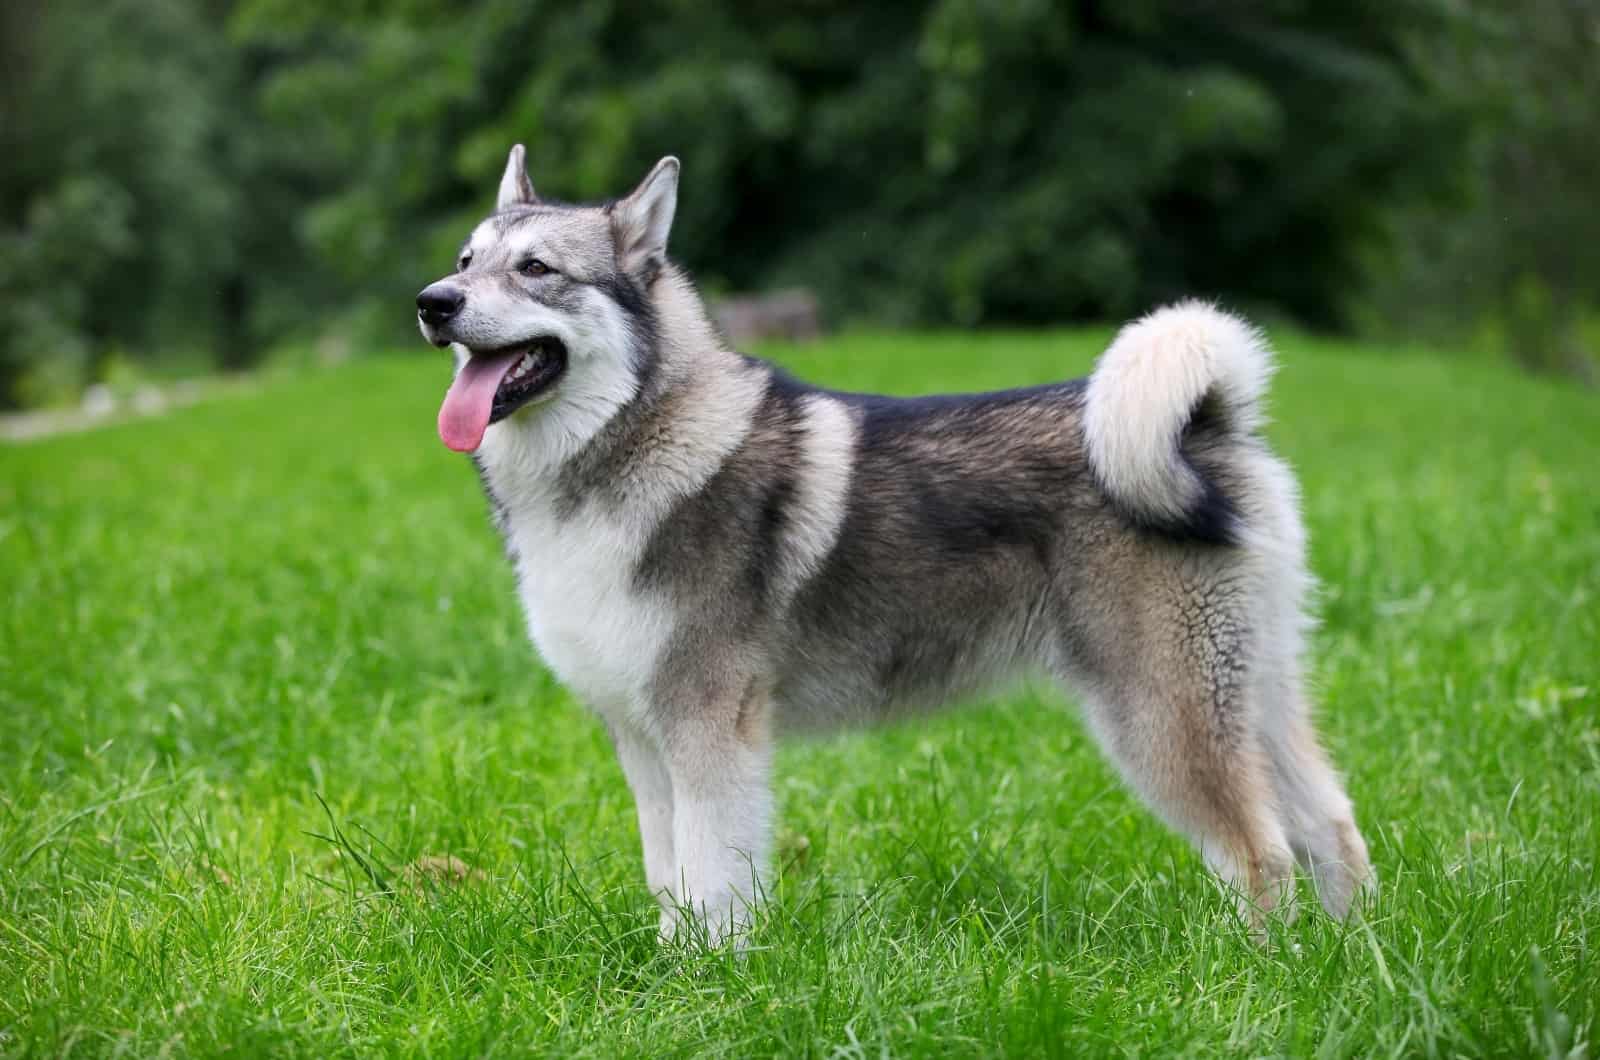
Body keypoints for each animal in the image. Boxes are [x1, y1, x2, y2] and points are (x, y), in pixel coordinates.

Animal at [412, 143, 1376, 947]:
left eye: (536, 269)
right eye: (465, 262)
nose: (433, 303)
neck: (634, 439)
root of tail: (1210, 423)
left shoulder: (710, 733)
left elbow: (714, 885)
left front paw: (707, 983)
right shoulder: (645, 743)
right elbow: (670, 880)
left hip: (1159, 712)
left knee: (1260, 854)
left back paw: (1257, 973)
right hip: (1251, 692)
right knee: (1330, 826)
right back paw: (1346, 963)